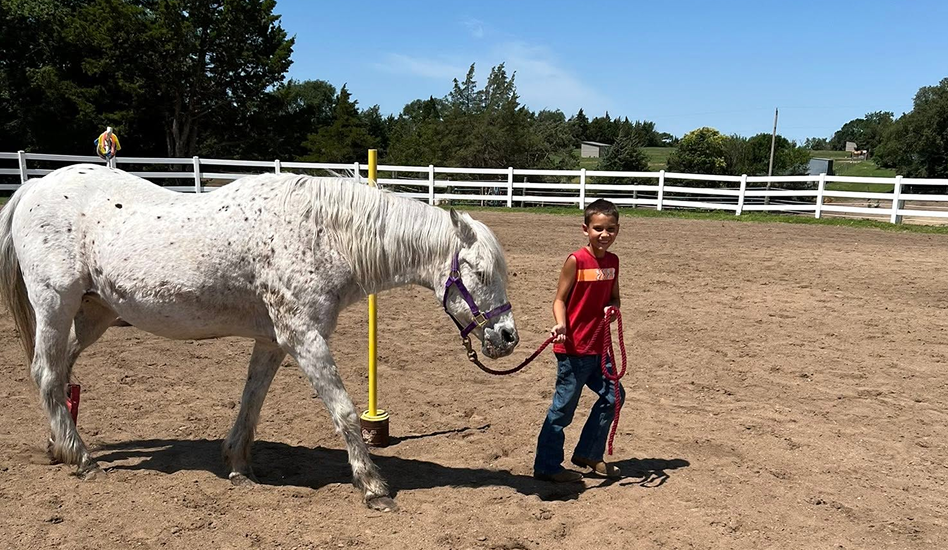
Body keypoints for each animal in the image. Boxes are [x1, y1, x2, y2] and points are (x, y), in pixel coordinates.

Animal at [0, 164, 520, 511]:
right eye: (476, 271)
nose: (507, 336)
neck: (319, 233)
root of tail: (33, 187)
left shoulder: (274, 341)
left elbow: (251, 402)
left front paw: (238, 467)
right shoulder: (305, 338)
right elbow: (345, 412)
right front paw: (373, 486)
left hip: (94, 314)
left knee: (61, 373)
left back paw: (60, 446)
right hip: (55, 305)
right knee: (46, 375)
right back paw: (83, 460)